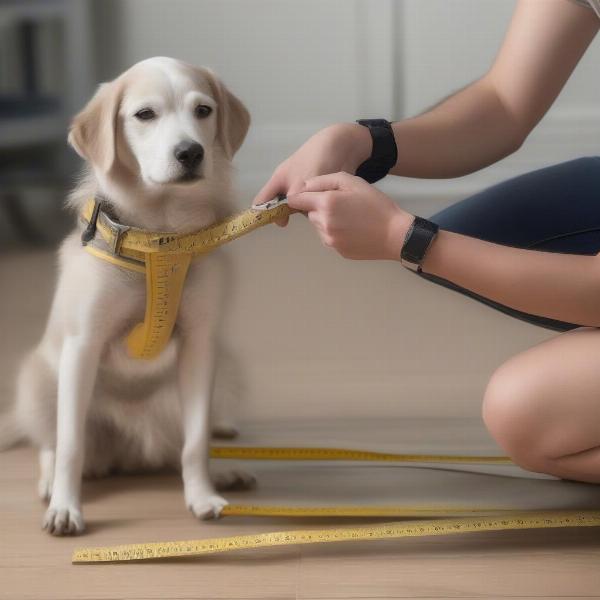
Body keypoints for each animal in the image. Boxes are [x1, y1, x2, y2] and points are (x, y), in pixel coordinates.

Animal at [0, 56, 253, 536]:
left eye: (203, 111)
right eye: (144, 114)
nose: (191, 153)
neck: (160, 239)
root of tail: (130, 451)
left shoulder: (200, 345)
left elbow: (195, 442)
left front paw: (202, 495)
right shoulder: (82, 346)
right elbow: (70, 444)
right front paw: (66, 507)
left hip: (225, 370)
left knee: (183, 443)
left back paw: (226, 468)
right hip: (38, 380)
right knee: (51, 444)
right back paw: (51, 482)